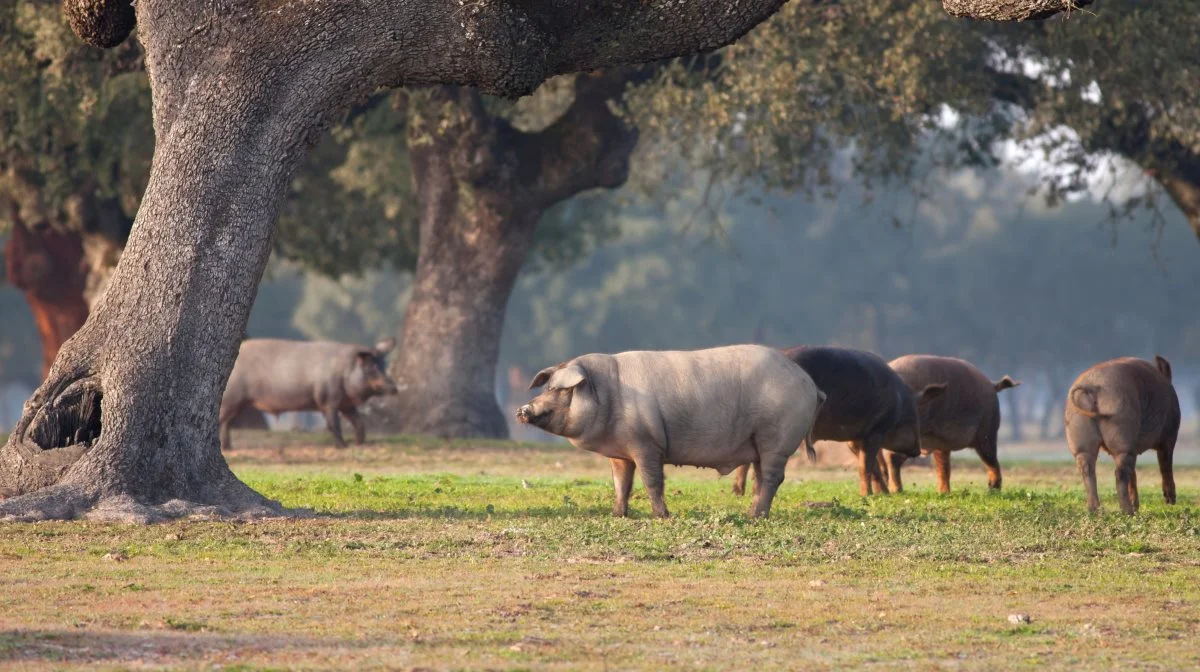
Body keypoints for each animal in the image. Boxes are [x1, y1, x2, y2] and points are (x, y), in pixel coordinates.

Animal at [218, 336, 400, 451]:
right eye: (371, 367)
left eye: (384, 365)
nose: (394, 388)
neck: (343, 370)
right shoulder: (327, 400)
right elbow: (333, 424)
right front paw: (343, 446)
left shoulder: (346, 404)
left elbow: (359, 423)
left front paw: (360, 444)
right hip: (231, 399)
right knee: (222, 420)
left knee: (227, 423)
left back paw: (228, 447)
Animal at [516, 345, 825, 520]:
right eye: (547, 387)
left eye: (562, 390)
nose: (523, 409)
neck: (608, 395)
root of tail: (809, 383)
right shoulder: (621, 452)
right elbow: (621, 483)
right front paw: (617, 515)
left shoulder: (646, 443)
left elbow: (652, 481)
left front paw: (662, 516)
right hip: (761, 442)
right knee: (761, 477)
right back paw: (752, 513)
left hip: (778, 439)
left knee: (773, 477)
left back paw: (756, 517)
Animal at [724, 348, 940, 496]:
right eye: (914, 417)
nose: (919, 450)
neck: (899, 403)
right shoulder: (875, 430)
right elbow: (866, 465)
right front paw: (867, 495)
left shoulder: (856, 437)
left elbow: (871, 466)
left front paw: (882, 494)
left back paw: (738, 492)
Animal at [1065, 357, 1176, 513]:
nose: (1171, 502)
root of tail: (1092, 386)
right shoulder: (1169, 435)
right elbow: (1165, 463)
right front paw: (1170, 502)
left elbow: (1134, 475)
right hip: (1122, 428)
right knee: (1120, 473)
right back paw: (1128, 511)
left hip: (1078, 430)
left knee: (1087, 468)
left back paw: (1095, 510)